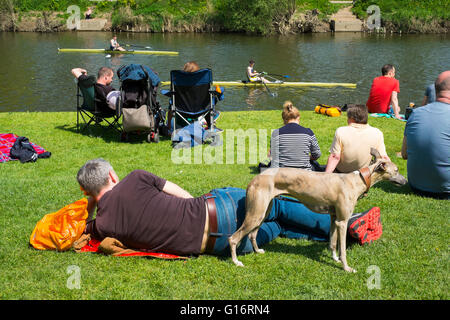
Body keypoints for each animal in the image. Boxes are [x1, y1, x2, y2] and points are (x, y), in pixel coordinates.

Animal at [229, 148, 408, 272]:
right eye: (397, 170)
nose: (405, 181)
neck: (358, 180)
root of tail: (254, 179)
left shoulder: (334, 218)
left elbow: (333, 242)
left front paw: (335, 259)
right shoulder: (343, 221)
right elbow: (342, 248)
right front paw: (346, 268)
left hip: (263, 211)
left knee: (252, 234)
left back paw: (258, 250)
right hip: (256, 212)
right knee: (233, 238)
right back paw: (236, 262)